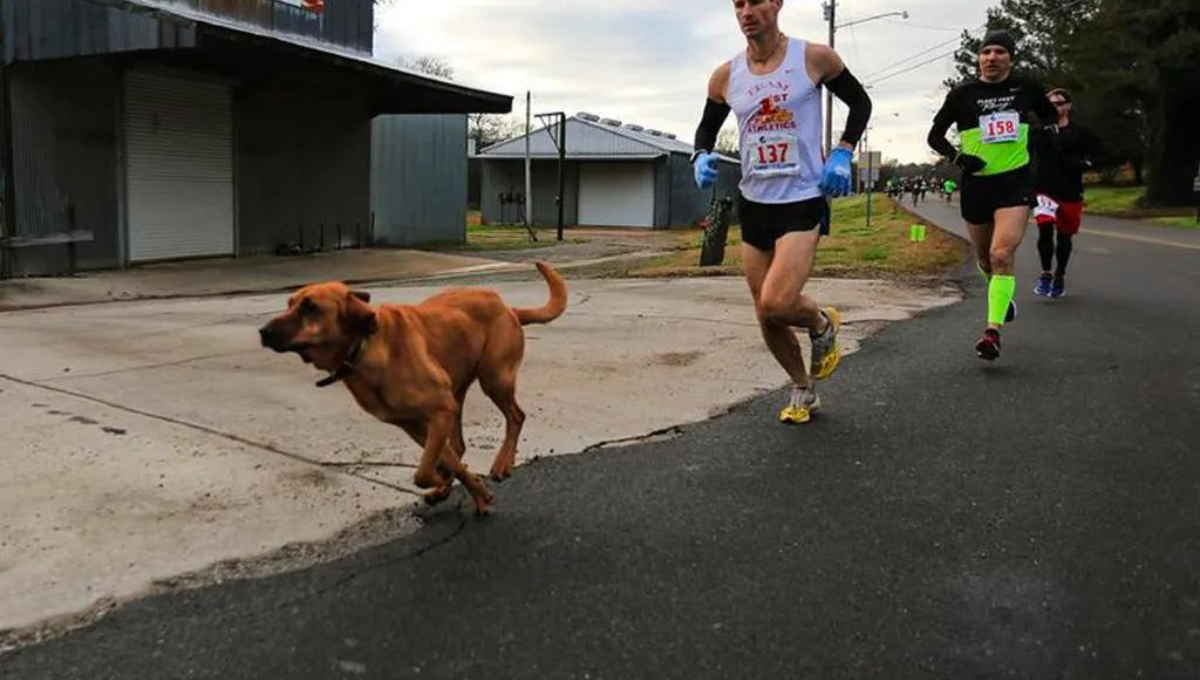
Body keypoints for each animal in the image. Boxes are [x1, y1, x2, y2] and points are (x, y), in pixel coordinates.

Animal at [260, 263, 568, 513]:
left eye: (311, 308)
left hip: (494, 379)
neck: (363, 348)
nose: (263, 332)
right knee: (459, 445)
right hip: (459, 394)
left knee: (516, 416)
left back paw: (503, 462)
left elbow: (424, 471)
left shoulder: (438, 412)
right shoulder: (417, 424)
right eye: (289, 303)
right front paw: (473, 493)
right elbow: (446, 461)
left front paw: (448, 481)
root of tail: (509, 309)